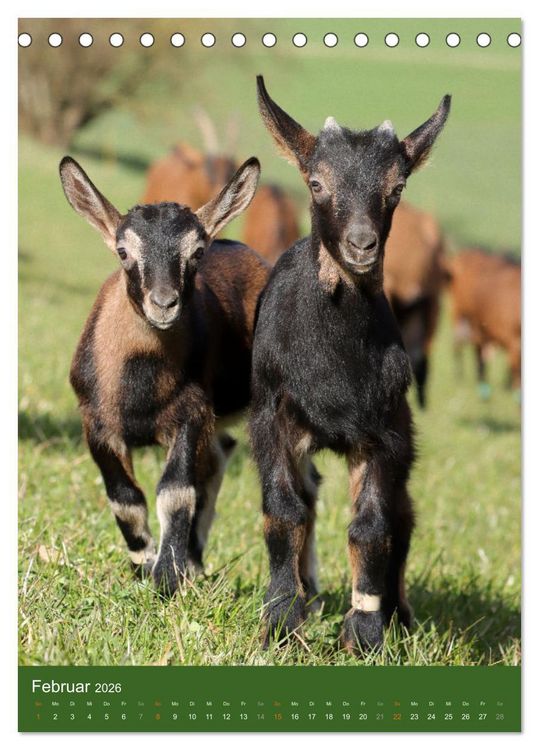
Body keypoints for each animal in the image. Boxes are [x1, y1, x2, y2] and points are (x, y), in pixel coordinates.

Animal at [60, 155, 268, 594]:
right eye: (123, 251)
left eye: (197, 252)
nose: (164, 303)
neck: (139, 391)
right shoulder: (96, 423)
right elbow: (124, 496)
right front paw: (144, 563)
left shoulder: (191, 413)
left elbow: (176, 492)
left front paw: (167, 576)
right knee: (218, 458)